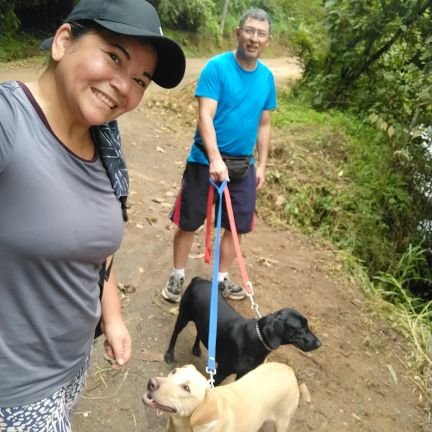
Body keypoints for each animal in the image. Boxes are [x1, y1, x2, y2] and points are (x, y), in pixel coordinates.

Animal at [165, 276, 320, 384]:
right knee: (174, 334)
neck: (257, 340)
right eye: (300, 329)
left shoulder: (243, 374)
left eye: (307, 326)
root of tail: (198, 279)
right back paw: (169, 354)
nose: (319, 343)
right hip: (183, 317)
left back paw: (196, 348)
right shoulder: (222, 371)